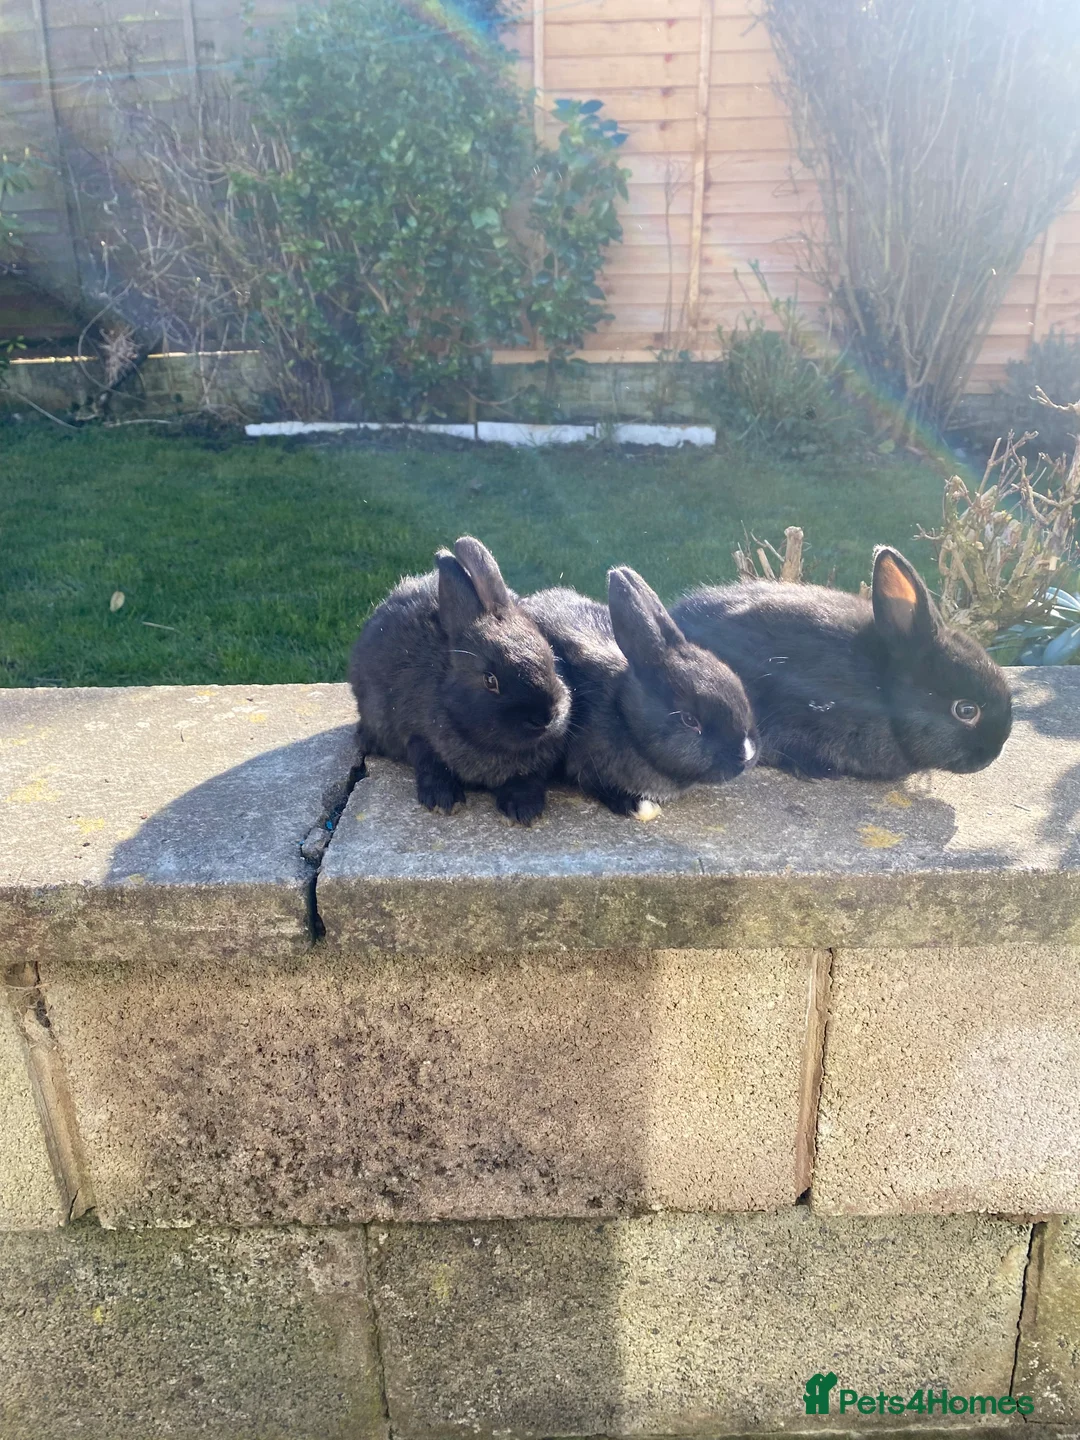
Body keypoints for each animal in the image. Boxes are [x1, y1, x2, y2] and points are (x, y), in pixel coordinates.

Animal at [349, 535, 571, 824]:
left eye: (551, 658)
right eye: (490, 680)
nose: (544, 718)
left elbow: (529, 778)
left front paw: (524, 809)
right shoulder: (416, 734)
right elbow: (429, 763)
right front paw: (443, 800)